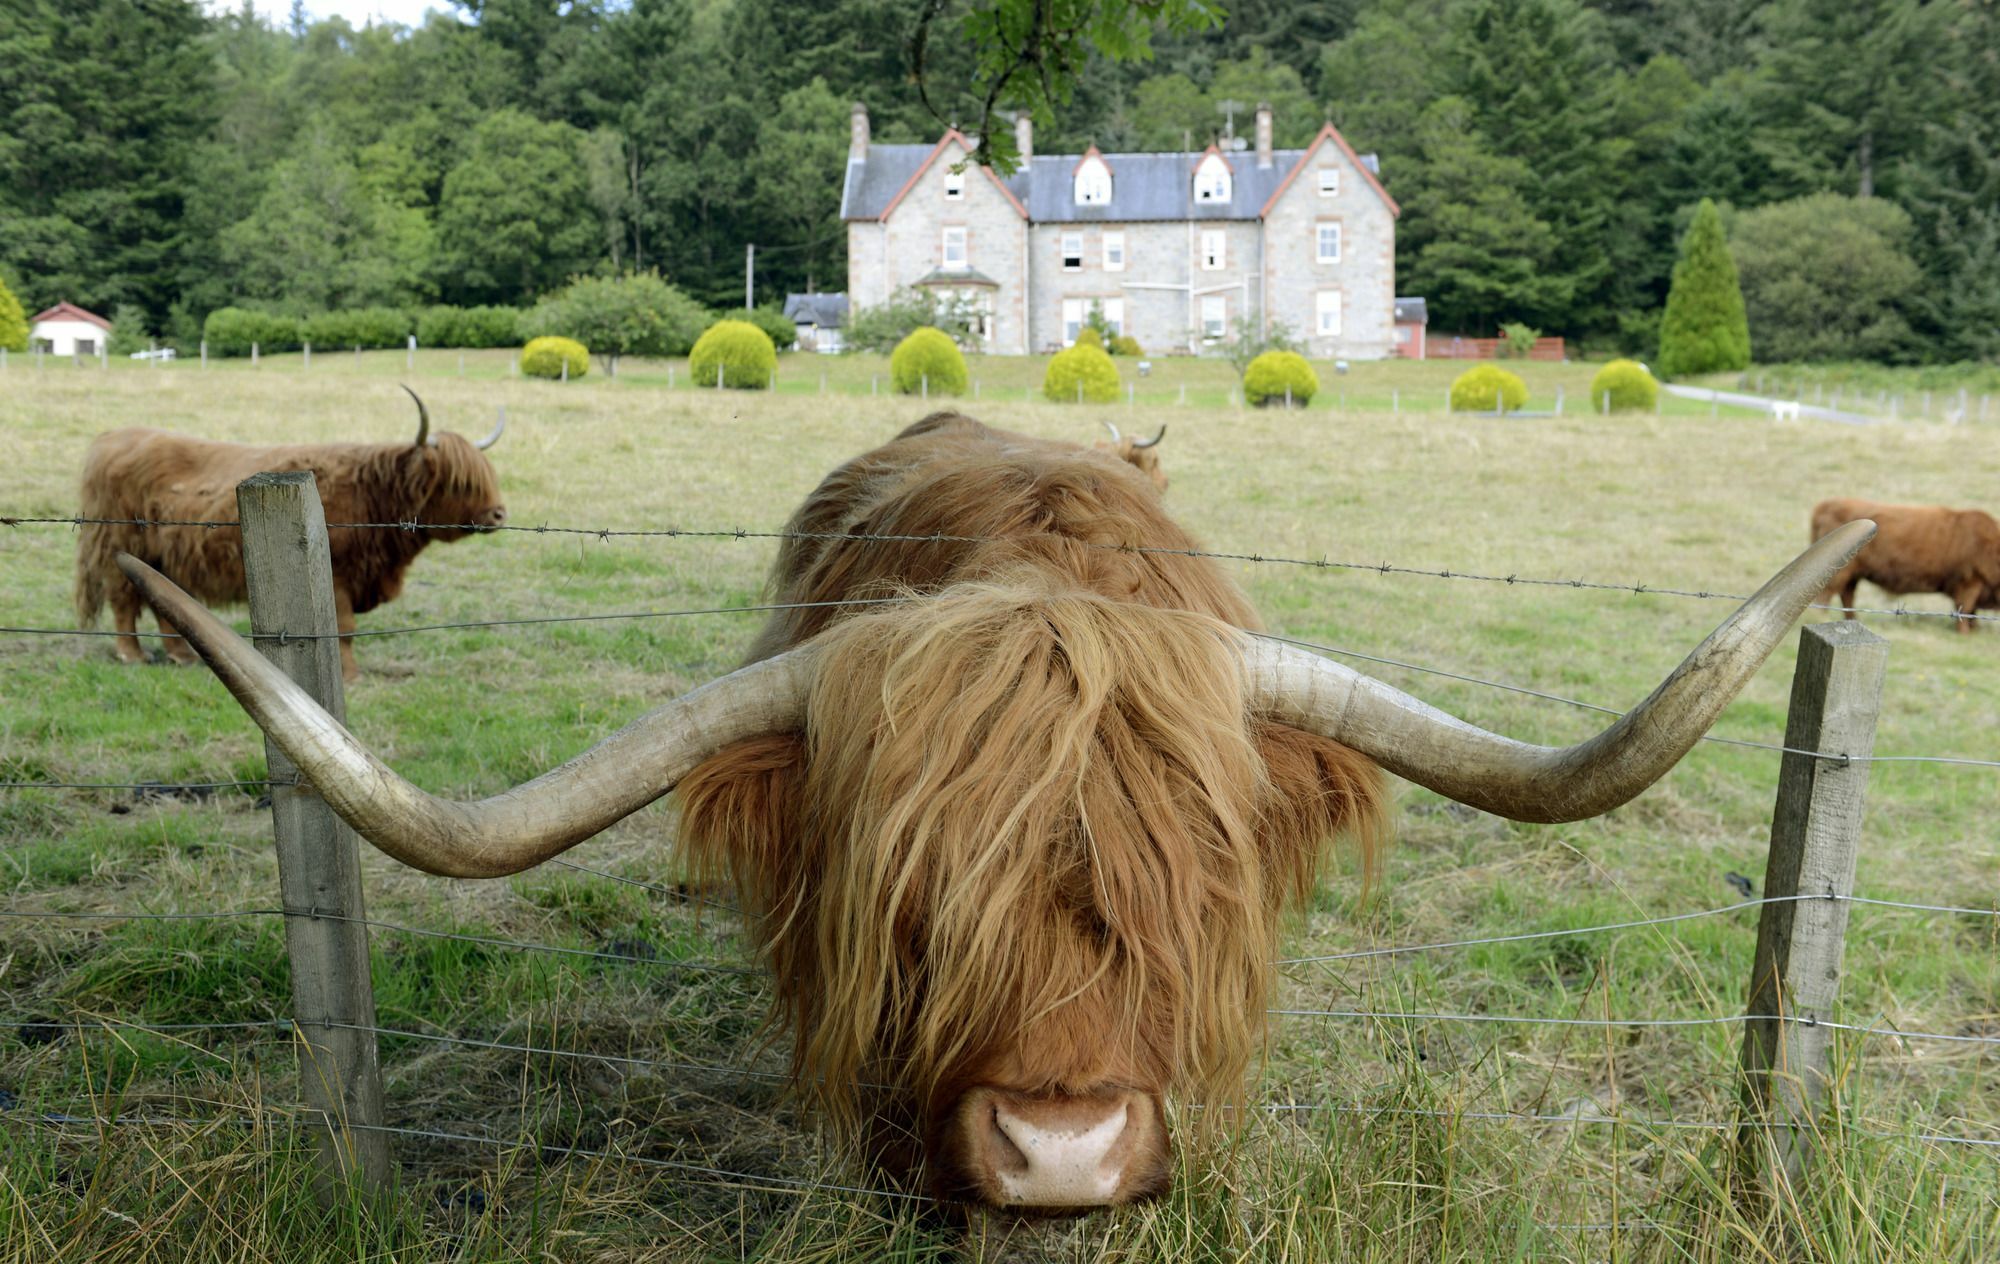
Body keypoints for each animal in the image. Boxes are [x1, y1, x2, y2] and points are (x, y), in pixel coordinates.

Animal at [76, 390, 508, 676]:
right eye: (461, 483)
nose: (499, 514)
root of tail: (113, 437)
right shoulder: (338, 577)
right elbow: (344, 630)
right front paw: (350, 675)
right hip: (120, 546)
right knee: (123, 601)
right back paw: (131, 655)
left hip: (163, 556)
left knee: (161, 598)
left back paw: (181, 656)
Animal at [1816, 494, 2000, 632]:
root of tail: (1826, 504)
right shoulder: (1970, 582)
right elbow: (1966, 607)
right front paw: (1965, 632)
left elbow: (1970, 610)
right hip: (1837, 573)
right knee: (1827, 596)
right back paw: (1821, 617)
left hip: (1852, 575)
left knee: (1847, 596)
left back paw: (1852, 619)